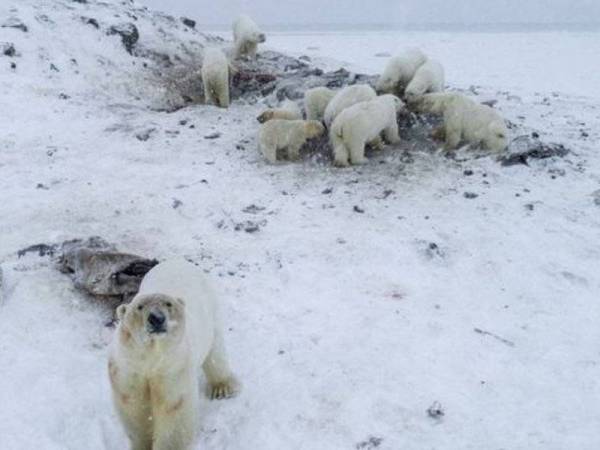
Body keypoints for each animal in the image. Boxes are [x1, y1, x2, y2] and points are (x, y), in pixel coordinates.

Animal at [108, 256, 239, 450]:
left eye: (168, 304)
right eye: (140, 306)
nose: (156, 318)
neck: (151, 356)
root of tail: (177, 261)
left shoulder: (174, 367)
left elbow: (174, 409)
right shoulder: (128, 368)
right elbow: (134, 407)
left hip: (210, 312)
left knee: (216, 351)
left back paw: (222, 388)